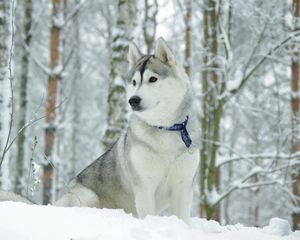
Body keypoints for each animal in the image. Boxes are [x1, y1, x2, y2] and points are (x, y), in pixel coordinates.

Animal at [2, 37, 200, 223]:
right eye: (134, 82)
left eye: (153, 79)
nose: (133, 100)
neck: (166, 129)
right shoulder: (144, 186)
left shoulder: (183, 186)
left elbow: (183, 219)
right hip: (87, 196)